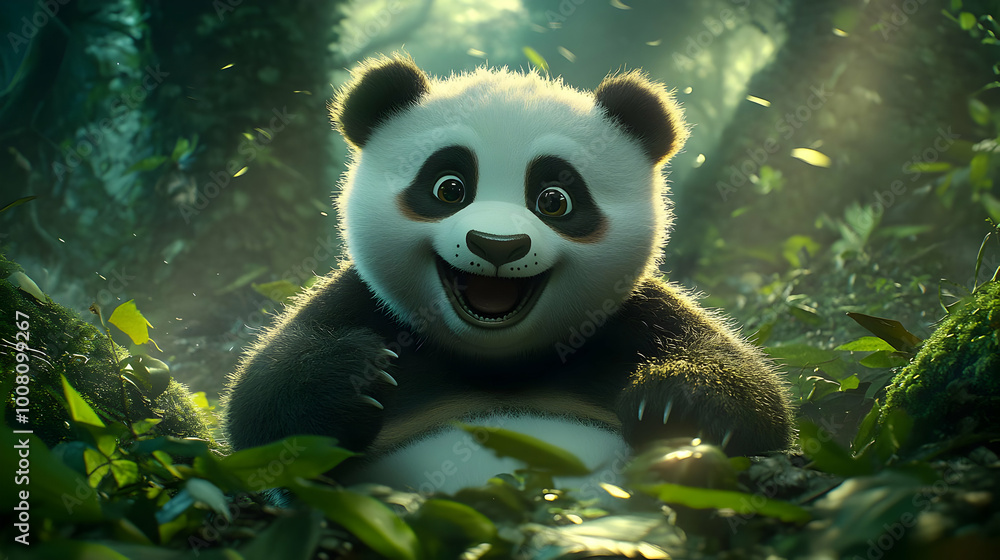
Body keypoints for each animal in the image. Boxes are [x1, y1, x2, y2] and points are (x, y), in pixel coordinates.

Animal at [222, 54, 794, 493]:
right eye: (449, 187)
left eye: (555, 200)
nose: (497, 245)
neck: (496, 362)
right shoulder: (365, 303)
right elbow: (258, 401)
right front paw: (357, 381)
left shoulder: (632, 314)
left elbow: (754, 393)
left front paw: (676, 404)